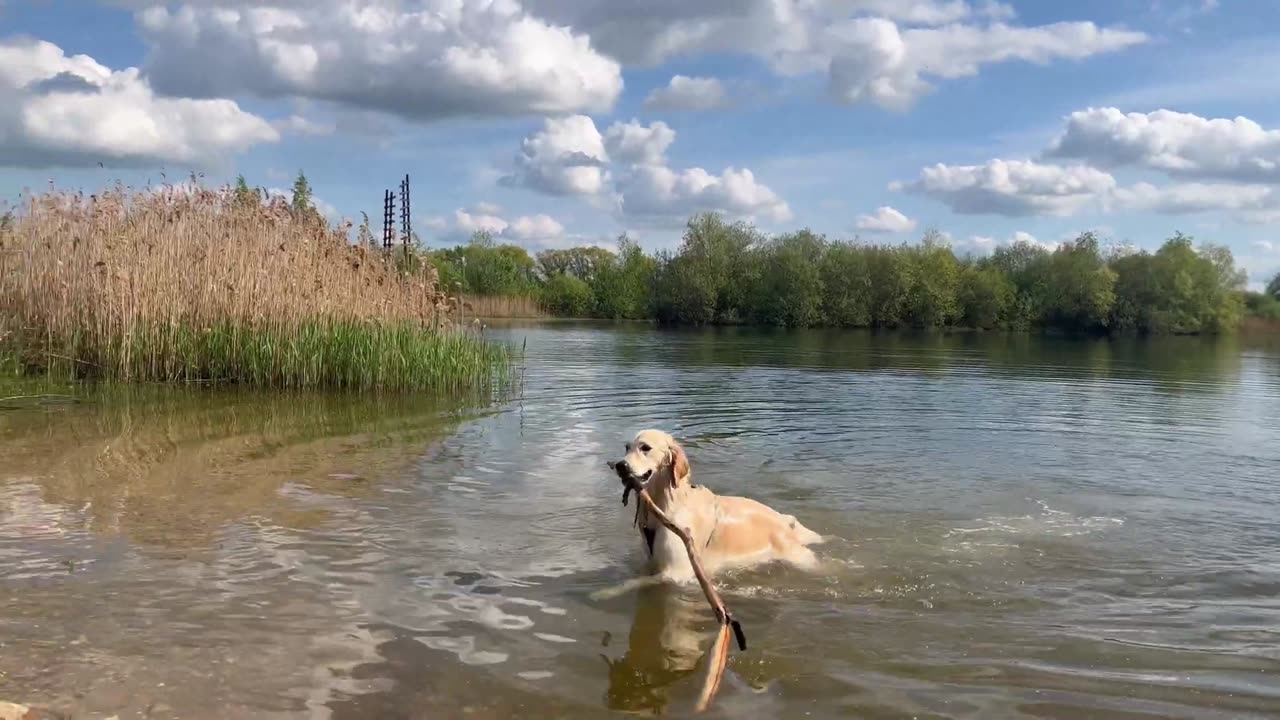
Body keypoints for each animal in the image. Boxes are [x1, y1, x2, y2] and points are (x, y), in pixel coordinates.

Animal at [606, 425, 819, 584]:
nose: (620, 465)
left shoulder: (677, 572)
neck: (667, 505)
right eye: (627, 448)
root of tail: (786, 521)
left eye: (645, 448)